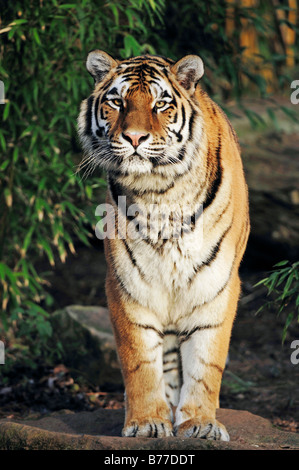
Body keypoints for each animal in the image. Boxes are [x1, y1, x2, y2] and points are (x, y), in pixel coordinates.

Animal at [78, 51, 251, 440]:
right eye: (117, 102)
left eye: (161, 104)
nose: (134, 137)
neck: (160, 191)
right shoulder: (127, 284)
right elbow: (140, 361)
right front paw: (147, 422)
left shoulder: (217, 284)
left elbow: (205, 362)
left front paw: (200, 423)